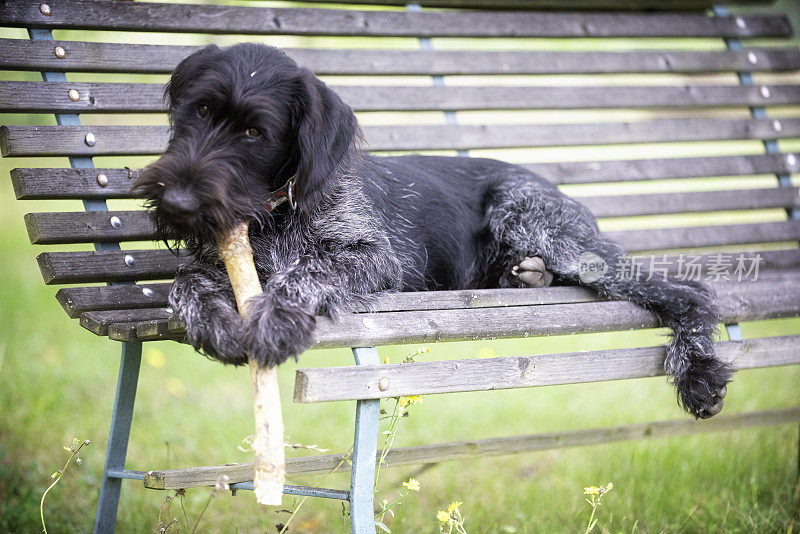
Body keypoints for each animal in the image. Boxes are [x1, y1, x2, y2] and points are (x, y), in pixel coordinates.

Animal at [136, 44, 732, 420]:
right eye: (199, 111)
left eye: (255, 133)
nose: (178, 203)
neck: (278, 211)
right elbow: (185, 284)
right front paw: (214, 321)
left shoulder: (376, 257)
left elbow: (306, 271)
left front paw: (274, 319)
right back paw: (525, 277)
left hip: (541, 224)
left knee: (688, 291)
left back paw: (700, 375)